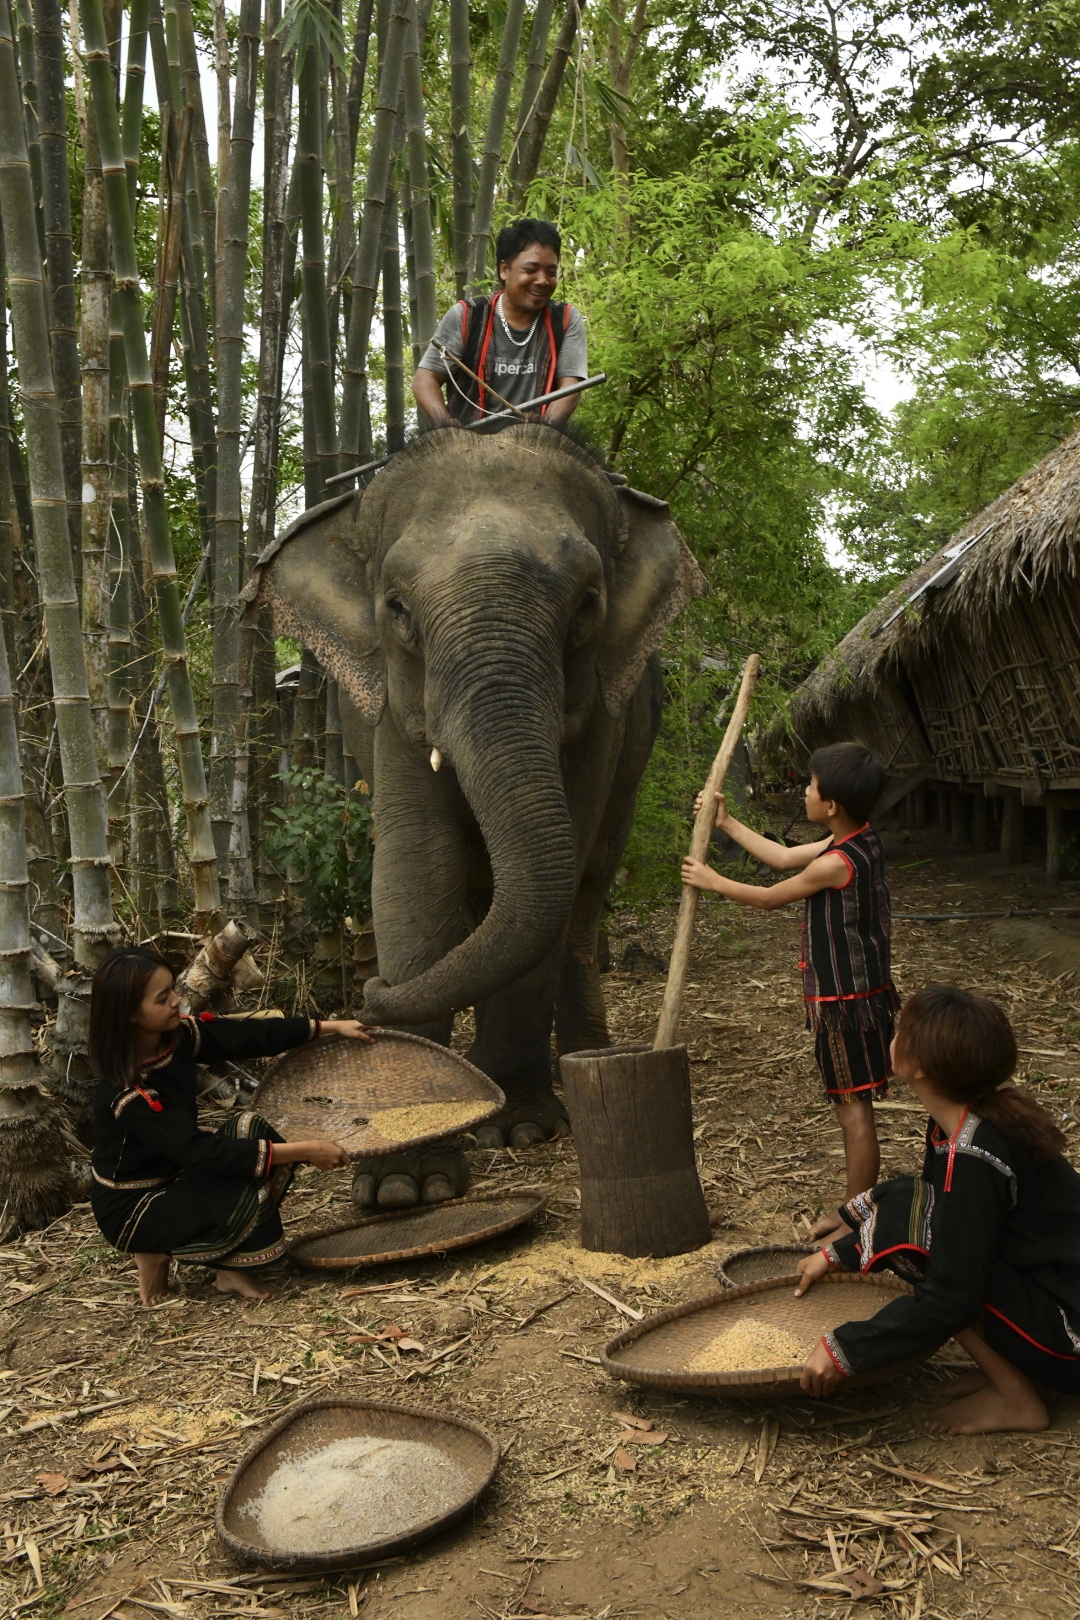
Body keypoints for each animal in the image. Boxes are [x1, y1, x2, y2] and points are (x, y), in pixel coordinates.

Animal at [254, 424, 709, 1211]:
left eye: (587, 605)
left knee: (585, 894)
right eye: (398, 610)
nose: (369, 994)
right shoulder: (389, 716)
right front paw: (403, 1184)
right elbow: (415, 867)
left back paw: (578, 1063)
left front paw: (520, 1128)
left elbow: (556, 866)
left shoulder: (602, 717)